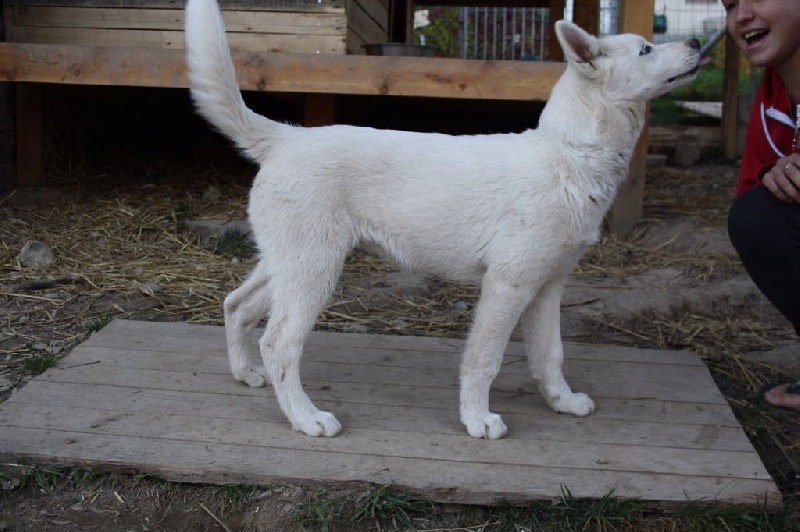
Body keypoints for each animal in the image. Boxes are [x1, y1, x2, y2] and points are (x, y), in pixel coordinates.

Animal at [184, 0, 704, 438]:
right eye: (645, 49)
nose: (699, 43)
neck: (569, 155)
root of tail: (285, 138)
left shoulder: (548, 286)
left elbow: (550, 354)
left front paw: (562, 401)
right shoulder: (507, 285)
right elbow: (485, 359)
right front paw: (478, 420)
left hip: (286, 264)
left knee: (236, 305)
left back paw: (246, 374)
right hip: (314, 271)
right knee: (279, 343)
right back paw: (306, 417)